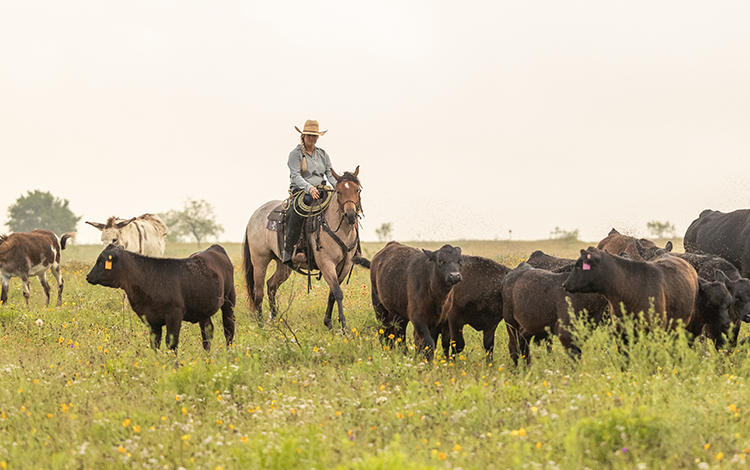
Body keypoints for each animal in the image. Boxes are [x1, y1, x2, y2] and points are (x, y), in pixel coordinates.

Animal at [84, 244, 235, 350]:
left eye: (100, 262)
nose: (88, 276)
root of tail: (214, 248)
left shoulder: (174, 315)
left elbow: (171, 343)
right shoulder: (151, 320)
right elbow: (154, 344)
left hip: (229, 301)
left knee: (228, 329)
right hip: (203, 311)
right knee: (207, 334)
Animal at [244, 166, 364, 330]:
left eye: (357, 190)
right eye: (339, 191)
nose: (350, 215)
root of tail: (255, 214)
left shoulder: (344, 266)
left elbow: (332, 294)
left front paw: (329, 323)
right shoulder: (326, 263)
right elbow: (338, 293)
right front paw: (343, 327)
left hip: (283, 264)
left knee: (271, 285)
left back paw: (274, 320)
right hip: (259, 260)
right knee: (258, 292)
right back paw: (261, 325)